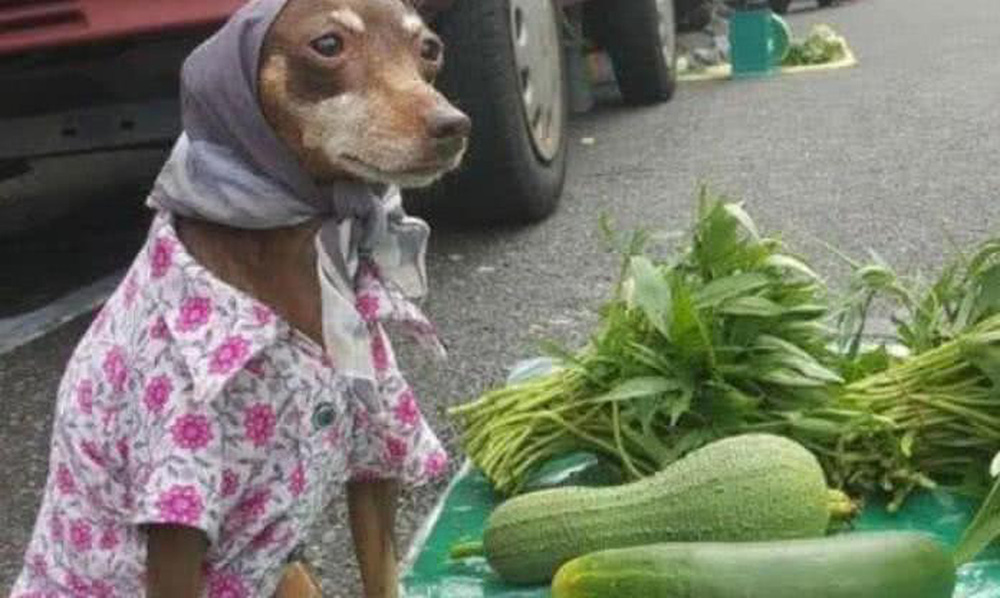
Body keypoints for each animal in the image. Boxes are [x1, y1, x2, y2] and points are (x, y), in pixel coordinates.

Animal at [8, 1, 468, 598]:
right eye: (327, 44)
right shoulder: (175, 527)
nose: (454, 125)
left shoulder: (376, 458)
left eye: (430, 49)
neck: (299, 253)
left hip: (292, 572)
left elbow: (383, 574)